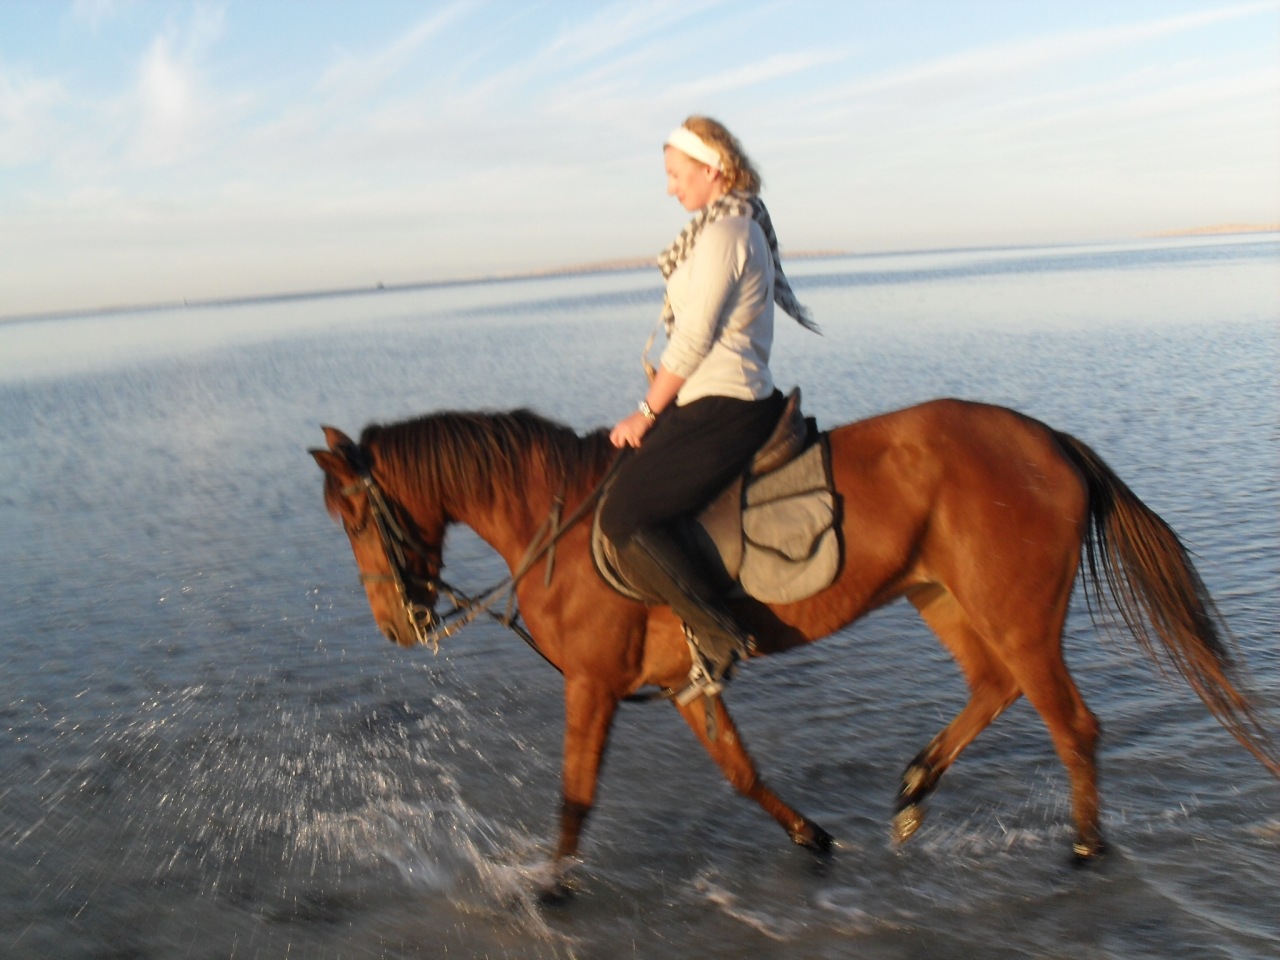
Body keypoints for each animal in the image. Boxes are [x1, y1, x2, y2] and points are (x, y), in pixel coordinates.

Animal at [310, 398, 1277, 889]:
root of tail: (1049, 441)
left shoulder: (590, 682)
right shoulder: (686, 682)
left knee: (1071, 722)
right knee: (994, 688)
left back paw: (1083, 846)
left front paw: (549, 886)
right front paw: (812, 837)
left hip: (1015, 611)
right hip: (942, 595)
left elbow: (575, 797)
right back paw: (915, 788)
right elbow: (741, 773)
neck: (561, 526)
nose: (396, 626)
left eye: (355, 519)